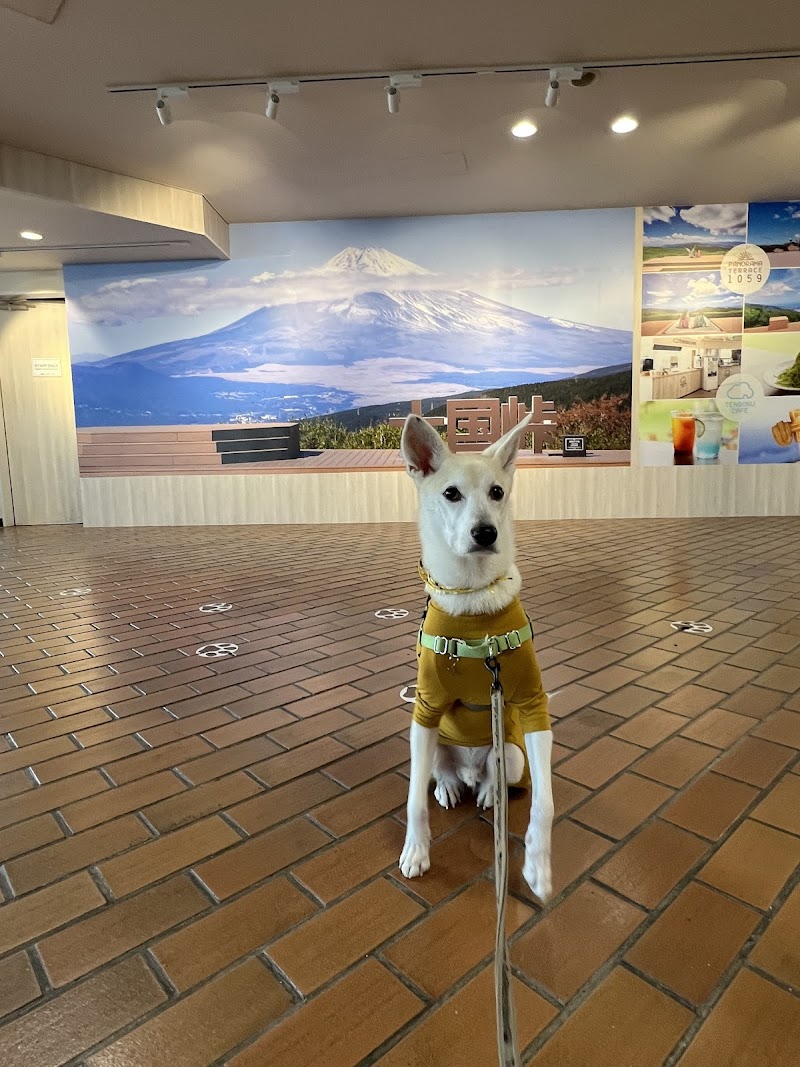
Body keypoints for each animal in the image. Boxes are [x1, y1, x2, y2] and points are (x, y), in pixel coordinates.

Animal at [398, 412, 554, 902]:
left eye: (497, 492)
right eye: (451, 493)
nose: (486, 533)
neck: (472, 602)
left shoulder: (534, 707)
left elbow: (545, 802)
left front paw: (538, 866)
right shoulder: (424, 708)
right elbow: (413, 801)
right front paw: (416, 851)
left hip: (512, 754)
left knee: (494, 778)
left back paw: (487, 792)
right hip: (427, 745)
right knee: (437, 776)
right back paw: (451, 786)